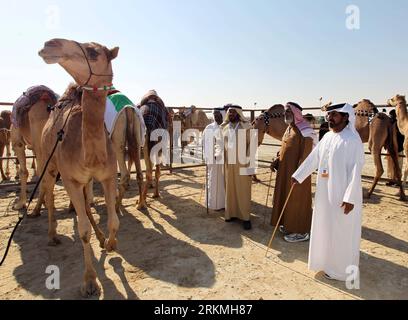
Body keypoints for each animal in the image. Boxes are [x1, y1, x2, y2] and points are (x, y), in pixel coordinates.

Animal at [38, 38, 121, 296]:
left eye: (93, 52)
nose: (49, 44)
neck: (90, 157)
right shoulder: (70, 179)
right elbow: (82, 231)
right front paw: (90, 281)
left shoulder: (107, 175)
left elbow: (114, 220)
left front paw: (110, 243)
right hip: (48, 163)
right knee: (49, 194)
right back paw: (52, 235)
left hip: (86, 180)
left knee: (85, 203)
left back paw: (100, 236)